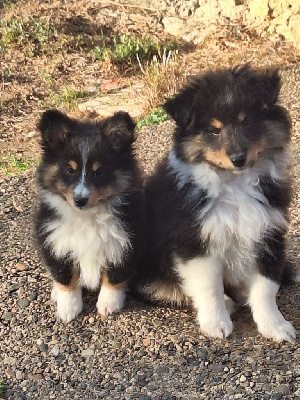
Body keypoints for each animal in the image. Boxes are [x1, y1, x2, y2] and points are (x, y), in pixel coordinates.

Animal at [35, 108, 142, 322]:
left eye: (98, 172)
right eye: (69, 169)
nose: (80, 200)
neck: (87, 216)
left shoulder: (125, 243)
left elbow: (115, 276)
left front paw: (108, 305)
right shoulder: (55, 242)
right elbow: (65, 277)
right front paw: (68, 309)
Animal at [135, 65, 296, 340]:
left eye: (246, 121)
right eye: (214, 129)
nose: (238, 159)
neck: (235, 183)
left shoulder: (269, 234)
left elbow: (266, 287)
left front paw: (275, 326)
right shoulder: (196, 241)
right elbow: (209, 284)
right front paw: (216, 324)